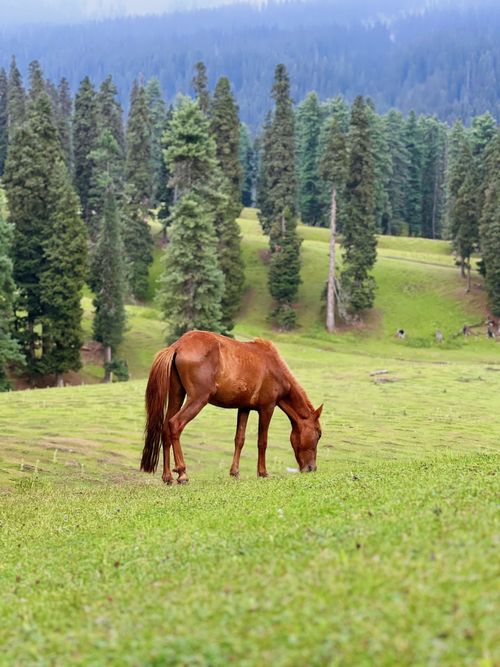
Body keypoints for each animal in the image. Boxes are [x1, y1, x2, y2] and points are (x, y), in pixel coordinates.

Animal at [141, 330, 323, 484]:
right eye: (319, 434)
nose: (312, 468)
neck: (273, 367)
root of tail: (177, 346)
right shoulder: (267, 407)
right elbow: (262, 441)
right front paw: (262, 472)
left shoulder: (244, 408)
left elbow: (239, 439)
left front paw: (235, 472)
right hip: (197, 399)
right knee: (175, 425)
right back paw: (182, 473)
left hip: (177, 395)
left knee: (166, 428)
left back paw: (167, 477)